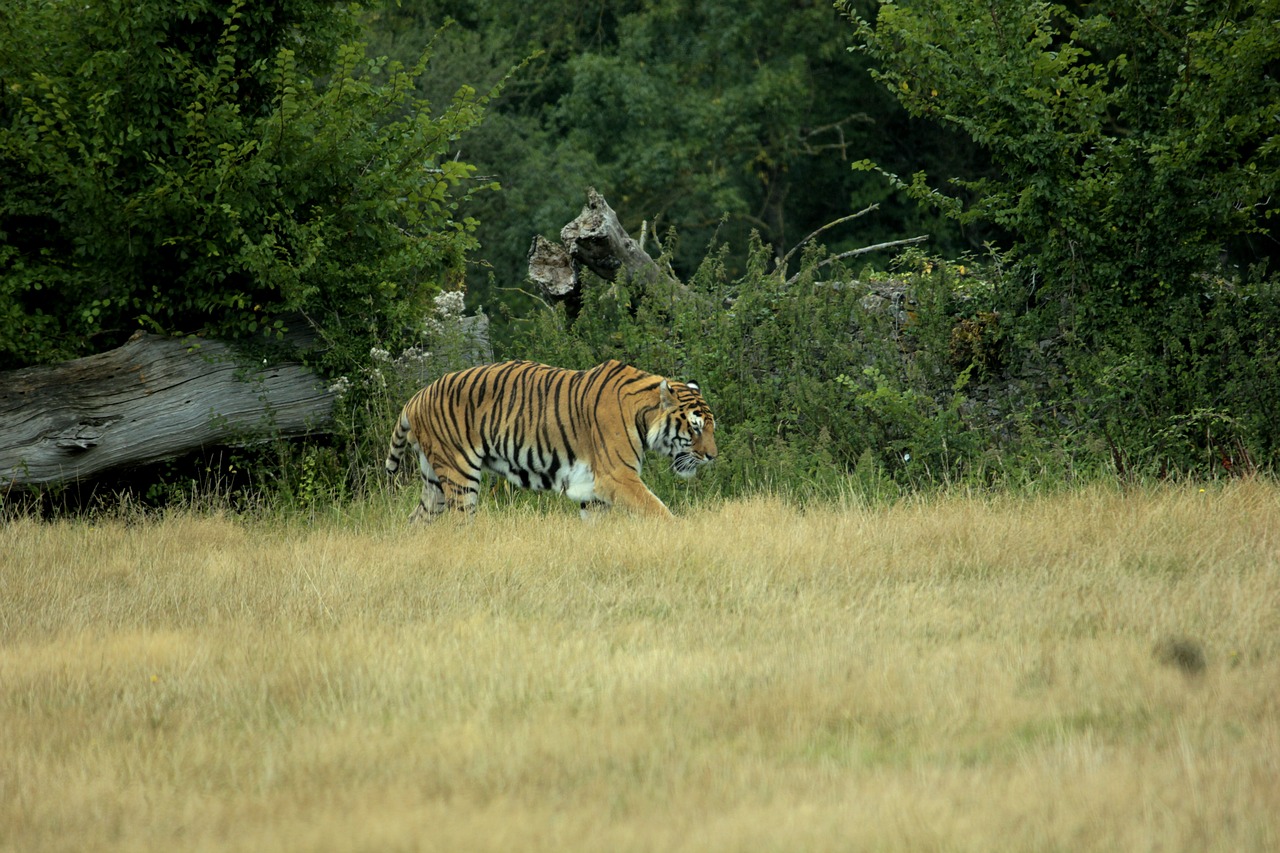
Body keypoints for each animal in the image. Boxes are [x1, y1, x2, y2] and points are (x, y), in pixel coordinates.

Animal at [384, 353, 716, 514]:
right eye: (695, 427)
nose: (713, 456)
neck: (642, 414)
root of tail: (416, 397)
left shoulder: (593, 490)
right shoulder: (618, 477)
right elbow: (658, 510)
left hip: (434, 482)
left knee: (418, 521)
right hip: (459, 474)